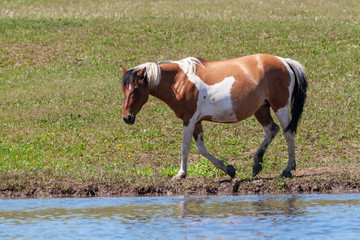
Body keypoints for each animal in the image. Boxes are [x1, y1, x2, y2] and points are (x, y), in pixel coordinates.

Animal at [121, 53, 306, 180]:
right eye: (124, 89)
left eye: (136, 89)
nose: (127, 118)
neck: (179, 80)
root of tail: (284, 61)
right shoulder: (196, 121)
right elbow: (201, 149)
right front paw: (229, 169)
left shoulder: (189, 119)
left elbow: (185, 147)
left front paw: (181, 174)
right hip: (261, 109)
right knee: (271, 130)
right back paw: (256, 163)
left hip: (280, 107)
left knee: (288, 133)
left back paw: (288, 168)